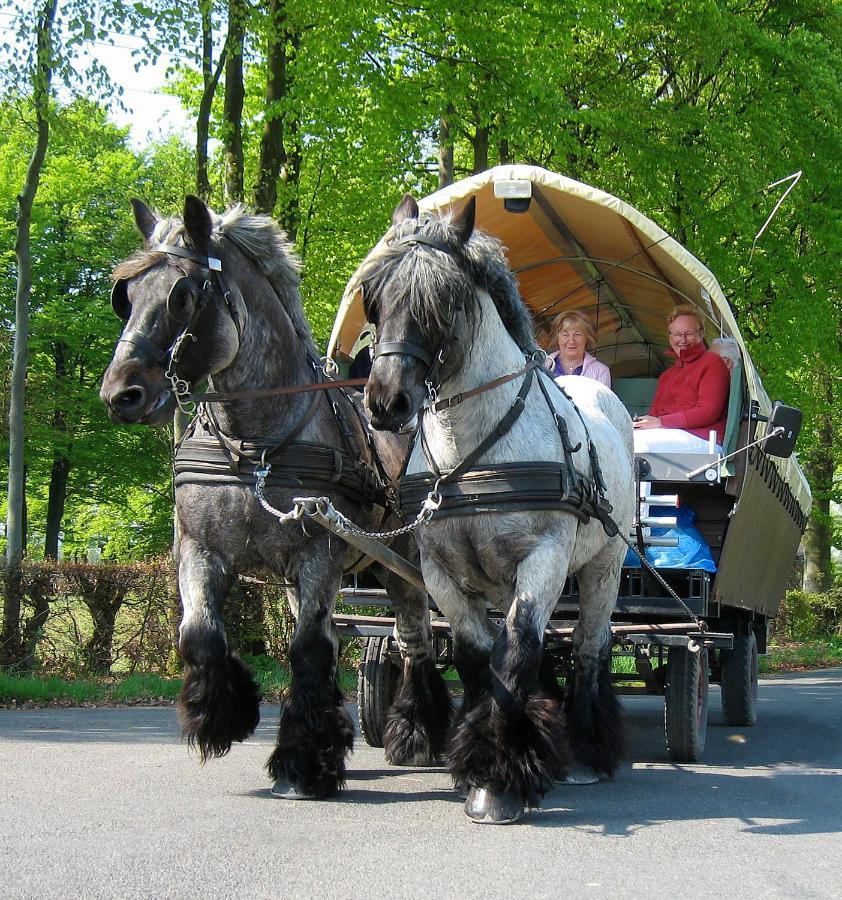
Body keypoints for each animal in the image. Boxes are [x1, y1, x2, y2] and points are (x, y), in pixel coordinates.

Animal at [101, 195, 450, 796]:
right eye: (126, 295)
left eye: (182, 295)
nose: (120, 393)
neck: (254, 445)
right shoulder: (199, 551)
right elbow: (200, 633)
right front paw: (223, 716)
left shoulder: (317, 556)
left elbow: (308, 649)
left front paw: (302, 761)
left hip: (402, 560)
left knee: (414, 636)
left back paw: (416, 734)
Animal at [358, 195, 632, 824]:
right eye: (374, 296)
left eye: (443, 301)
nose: (386, 403)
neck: (471, 453)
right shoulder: (440, 570)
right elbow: (477, 654)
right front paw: (484, 759)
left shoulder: (545, 559)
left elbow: (517, 648)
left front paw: (497, 781)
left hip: (603, 566)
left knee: (589, 646)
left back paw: (586, 749)